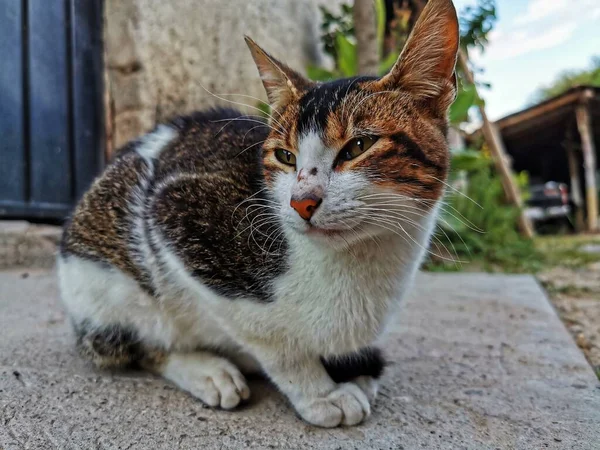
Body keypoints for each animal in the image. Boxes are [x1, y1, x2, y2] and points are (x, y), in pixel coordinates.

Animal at [57, 0, 460, 428]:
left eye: (358, 146)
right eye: (285, 156)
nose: (302, 202)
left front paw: (351, 373)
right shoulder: (173, 208)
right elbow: (272, 339)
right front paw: (320, 392)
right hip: (106, 280)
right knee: (140, 342)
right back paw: (209, 370)